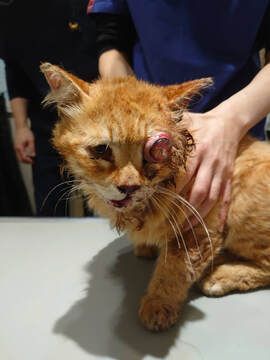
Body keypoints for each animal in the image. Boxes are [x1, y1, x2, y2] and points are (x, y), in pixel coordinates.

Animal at [41, 62, 270, 332]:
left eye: (154, 151)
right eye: (101, 150)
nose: (129, 186)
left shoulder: (201, 228)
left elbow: (175, 269)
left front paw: (158, 305)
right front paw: (145, 246)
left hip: (242, 208)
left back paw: (220, 276)